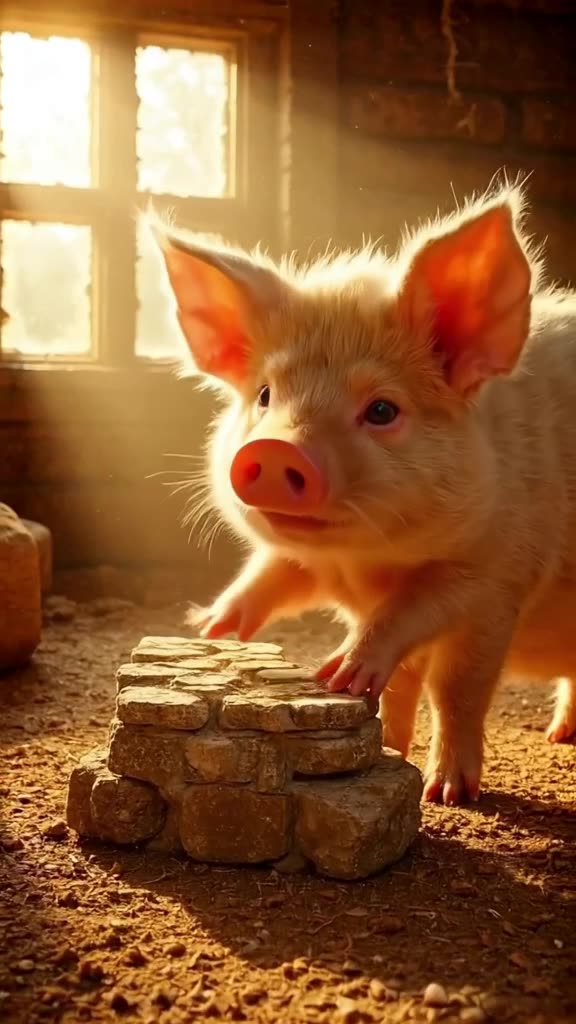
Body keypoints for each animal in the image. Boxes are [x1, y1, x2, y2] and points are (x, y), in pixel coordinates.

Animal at [151, 182, 576, 806]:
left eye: (381, 410)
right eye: (265, 395)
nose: (275, 449)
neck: (362, 564)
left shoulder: (498, 576)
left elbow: (453, 682)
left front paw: (441, 789)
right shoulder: (312, 564)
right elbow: (277, 577)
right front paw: (208, 629)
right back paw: (560, 735)